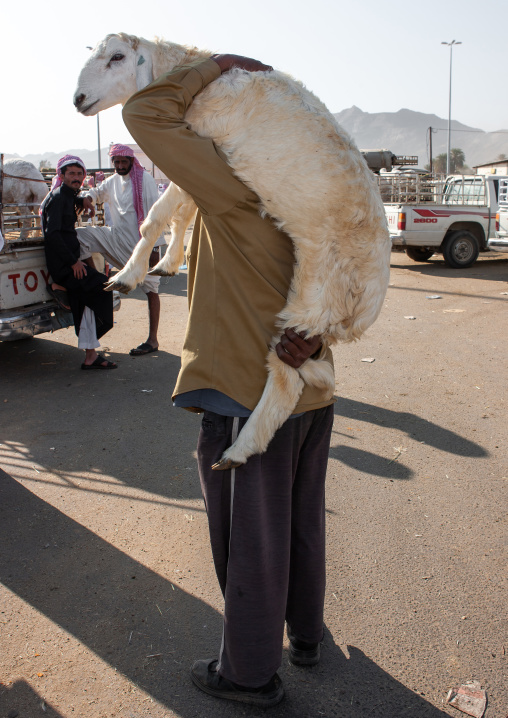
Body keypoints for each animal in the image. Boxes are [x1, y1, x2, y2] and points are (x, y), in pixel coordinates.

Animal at [74, 33, 391, 469]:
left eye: (117, 57)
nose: (78, 98)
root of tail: (364, 311)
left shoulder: (199, 147)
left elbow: (156, 216)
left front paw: (125, 276)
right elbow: (179, 216)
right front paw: (167, 263)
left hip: (314, 298)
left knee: (285, 378)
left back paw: (239, 451)